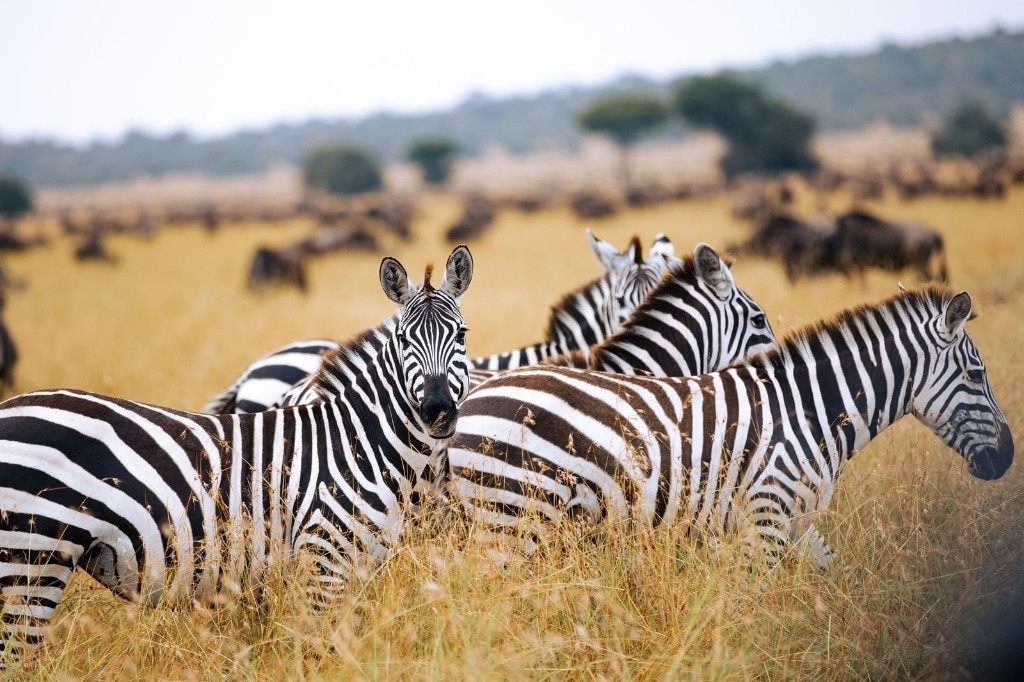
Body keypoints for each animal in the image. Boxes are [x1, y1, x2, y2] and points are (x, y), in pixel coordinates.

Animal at [0, 246, 474, 668]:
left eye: (461, 335)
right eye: (404, 340)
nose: (437, 410)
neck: (359, 442)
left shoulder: (358, 568)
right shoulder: (324, 563)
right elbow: (320, 652)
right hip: (31, 558)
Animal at [447, 286, 1013, 567]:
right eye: (976, 375)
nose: (1007, 457)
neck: (809, 411)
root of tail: (468, 400)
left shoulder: (792, 521)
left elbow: (823, 574)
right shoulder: (767, 511)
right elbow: (757, 602)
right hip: (512, 516)